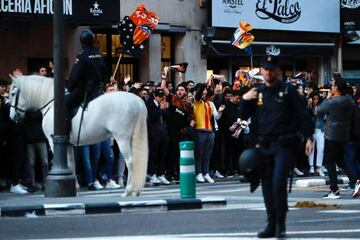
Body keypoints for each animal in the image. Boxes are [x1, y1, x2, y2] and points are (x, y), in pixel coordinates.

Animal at [9, 75, 148, 197]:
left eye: (13, 94)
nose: (12, 116)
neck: (53, 104)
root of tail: (138, 100)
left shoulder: (54, 142)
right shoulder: (68, 144)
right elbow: (71, 165)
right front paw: (74, 188)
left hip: (122, 139)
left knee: (130, 161)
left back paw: (128, 190)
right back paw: (134, 191)